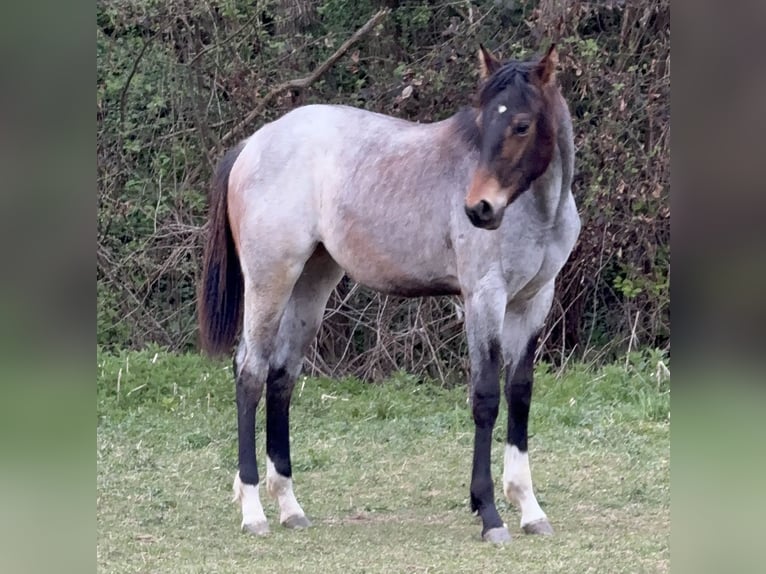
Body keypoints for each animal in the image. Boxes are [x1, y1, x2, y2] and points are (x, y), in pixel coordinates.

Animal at [198, 44, 580, 543]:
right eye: (481, 121)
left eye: (521, 124)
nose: (479, 209)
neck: (537, 212)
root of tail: (254, 144)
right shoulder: (485, 298)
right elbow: (485, 398)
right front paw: (490, 514)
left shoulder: (533, 302)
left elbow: (520, 394)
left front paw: (530, 508)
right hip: (271, 280)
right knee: (250, 373)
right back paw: (253, 510)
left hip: (311, 284)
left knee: (282, 377)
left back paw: (289, 506)